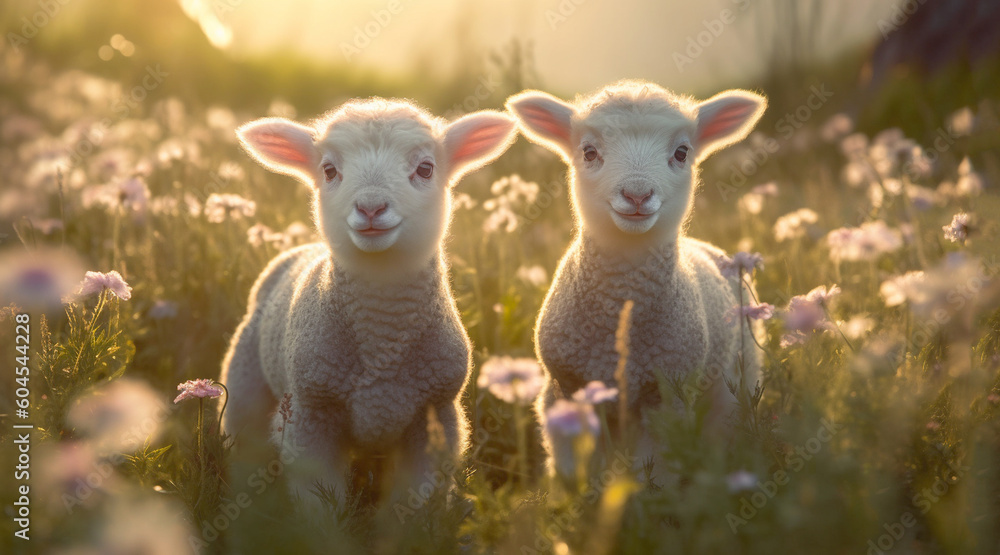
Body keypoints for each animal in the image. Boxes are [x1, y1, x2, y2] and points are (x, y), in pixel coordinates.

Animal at [219, 98, 517, 510]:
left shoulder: (436, 417)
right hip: (246, 381)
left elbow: (413, 505)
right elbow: (318, 504)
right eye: (329, 170)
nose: (371, 207)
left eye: (426, 168)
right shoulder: (311, 417)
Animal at [506, 80, 766, 477]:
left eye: (681, 152)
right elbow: (576, 467)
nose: (637, 194)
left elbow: (651, 471)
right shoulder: (567, 388)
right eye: (589, 151)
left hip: (737, 376)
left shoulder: (668, 395)